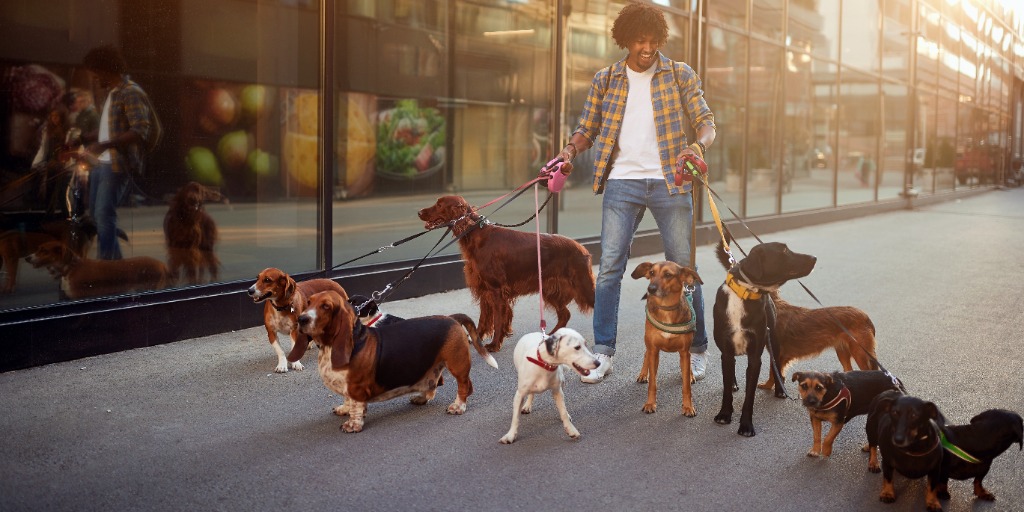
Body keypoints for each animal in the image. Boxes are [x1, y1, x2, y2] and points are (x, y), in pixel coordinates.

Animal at [292, 288, 499, 432]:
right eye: (308, 302)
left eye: (326, 306)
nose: (301, 319)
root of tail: (451, 318)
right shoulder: (346, 385)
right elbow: (347, 399)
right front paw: (344, 408)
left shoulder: (357, 387)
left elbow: (357, 406)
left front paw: (353, 424)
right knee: (433, 384)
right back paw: (421, 398)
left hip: (457, 365)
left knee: (464, 386)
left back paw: (458, 406)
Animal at [630, 260, 704, 415]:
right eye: (652, 273)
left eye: (668, 275)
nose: (651, 289)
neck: (666, 309)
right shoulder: (654, 350)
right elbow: (653, 383)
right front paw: (650, 404)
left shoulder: (684, 352)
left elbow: (686, 386)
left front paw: (688, 406)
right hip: (648, 343)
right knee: (646, 354)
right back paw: (643, 374)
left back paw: (690, 375)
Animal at [712, 232, 815, 436]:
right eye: (784, 250)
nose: (814, 258)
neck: (745, 294)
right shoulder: (726, 351)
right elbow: (726, 388)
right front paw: (725, 414)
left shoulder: (755, 356)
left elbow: (749, 396)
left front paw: (746, 425)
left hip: (773, 338)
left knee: (776, 363)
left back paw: (780, 390)